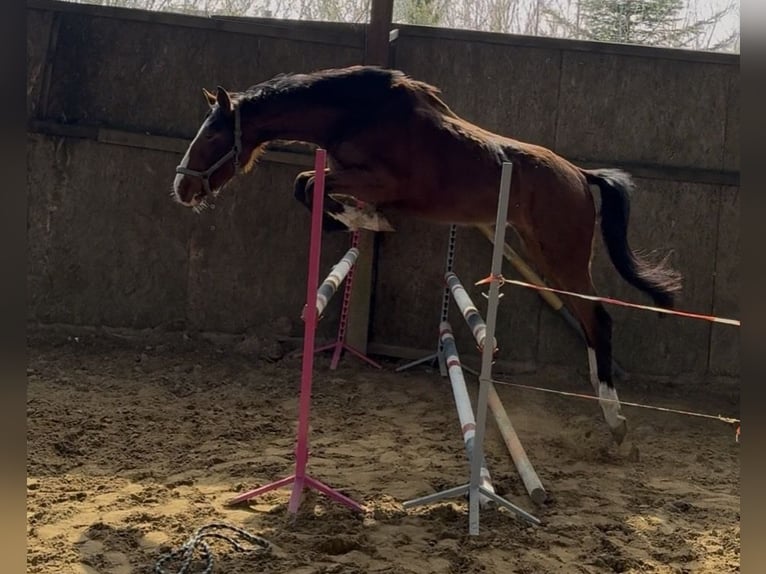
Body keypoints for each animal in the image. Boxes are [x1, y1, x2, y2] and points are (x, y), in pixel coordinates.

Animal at [172, 65, 682, 445]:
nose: (182, 188)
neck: (355, 114)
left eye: (212, 138)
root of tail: (580, 174)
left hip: (562, 256)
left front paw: (364, 220)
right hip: (544, 253)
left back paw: (614, 418)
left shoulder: (377, 180)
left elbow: (309, 183)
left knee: (598, 318)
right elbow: (307, 185)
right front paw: (359, 218)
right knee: (591, 319)